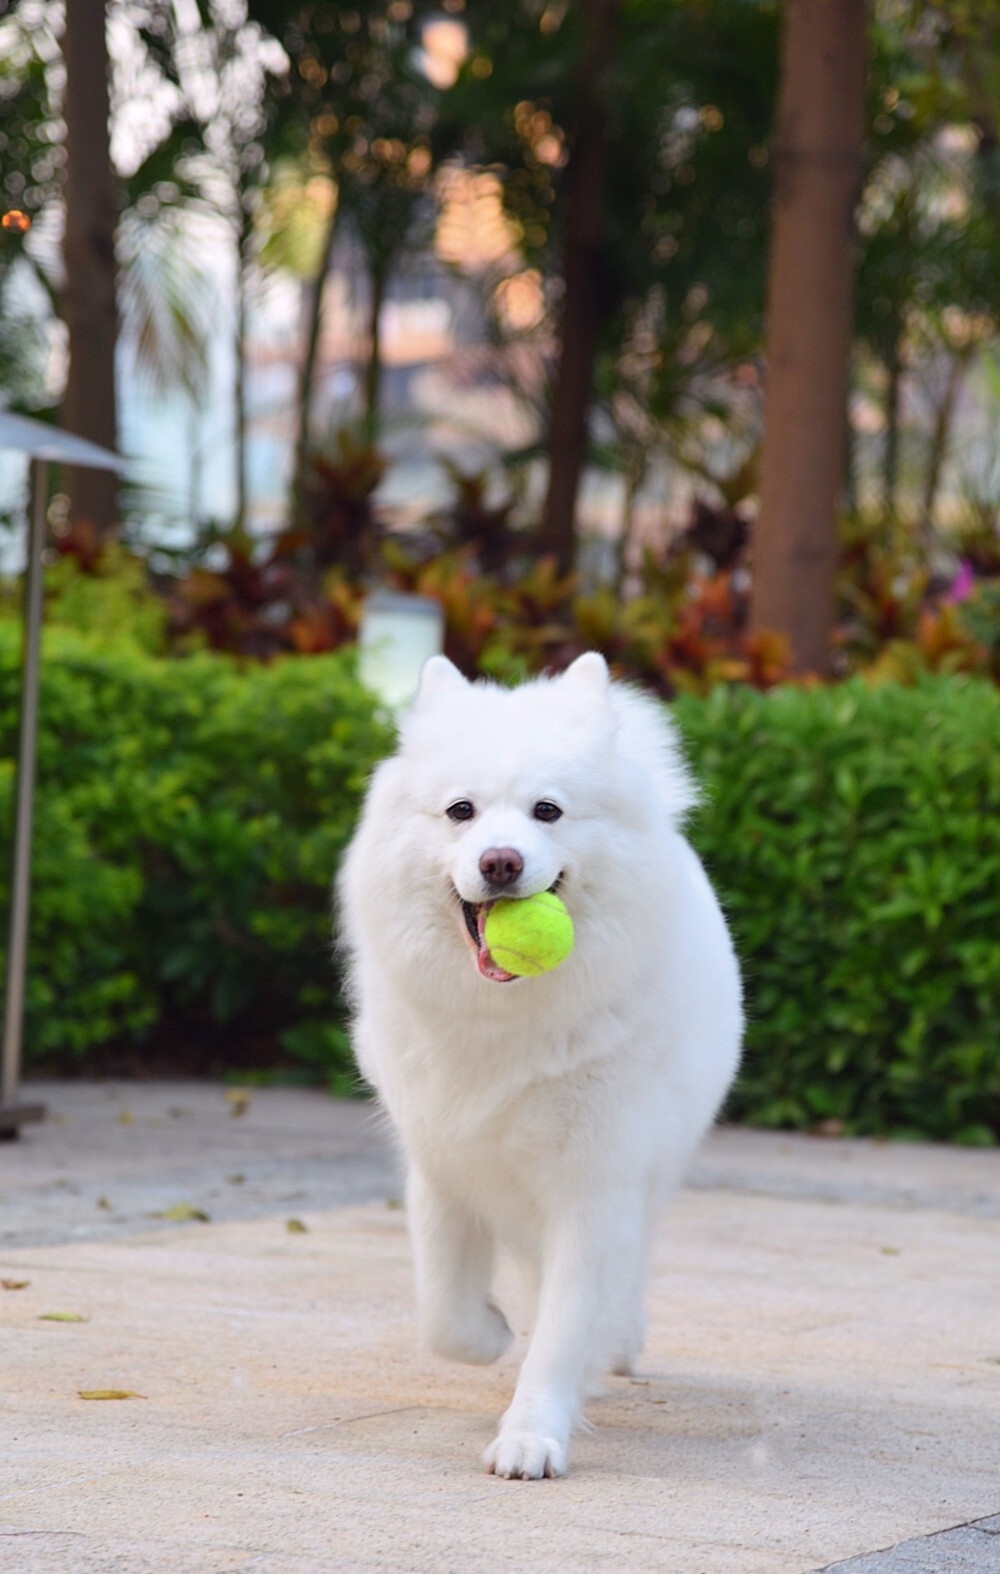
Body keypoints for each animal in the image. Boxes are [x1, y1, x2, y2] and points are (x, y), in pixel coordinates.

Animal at [340, 648, 740, 1473]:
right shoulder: (442, 1165)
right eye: (461, 811)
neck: (509, 1022)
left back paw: (616, 1342)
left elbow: (562, 1330)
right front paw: (491, 1334)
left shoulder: (596, 1187)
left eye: (547, 812)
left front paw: (532, 1435)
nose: (500, 862)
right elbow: (444, 1314)